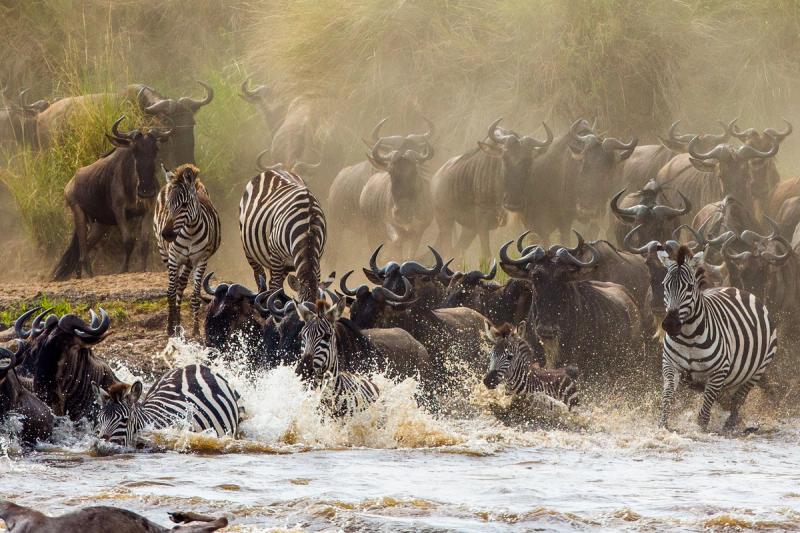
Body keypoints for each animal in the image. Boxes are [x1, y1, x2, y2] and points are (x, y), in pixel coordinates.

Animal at [153, 164, 221, 336]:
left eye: (184, 205)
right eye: (168, 205)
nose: (166, 234)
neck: (190, 231)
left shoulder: (200, 260)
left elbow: (195, 295)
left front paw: (196, 329)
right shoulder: (173, 258)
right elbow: (170, 292)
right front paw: (170, 327)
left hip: (189, 262)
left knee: (181, 285)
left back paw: (179, 323)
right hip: (165, 253)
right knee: (174, 286)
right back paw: (174, 324)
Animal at [239, 168, 326, 302]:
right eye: (301, 304)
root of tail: (272, 170)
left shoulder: (318, 258)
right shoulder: (275, 253)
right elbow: (275, 287)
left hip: (285, 264)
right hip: (249, 250)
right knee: (260, 275)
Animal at [659, 245, 778, 431]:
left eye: (690, 287)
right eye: (665, 285)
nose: (670, 324)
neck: (688, 337)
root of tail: (734, 288)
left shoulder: (718, 371)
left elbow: (707, 406)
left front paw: (701, 429)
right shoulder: (670, 364)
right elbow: (667, 394)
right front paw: (663, 424)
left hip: (758, 369)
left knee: (739, 398)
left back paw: (731, 424)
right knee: (726, 398)